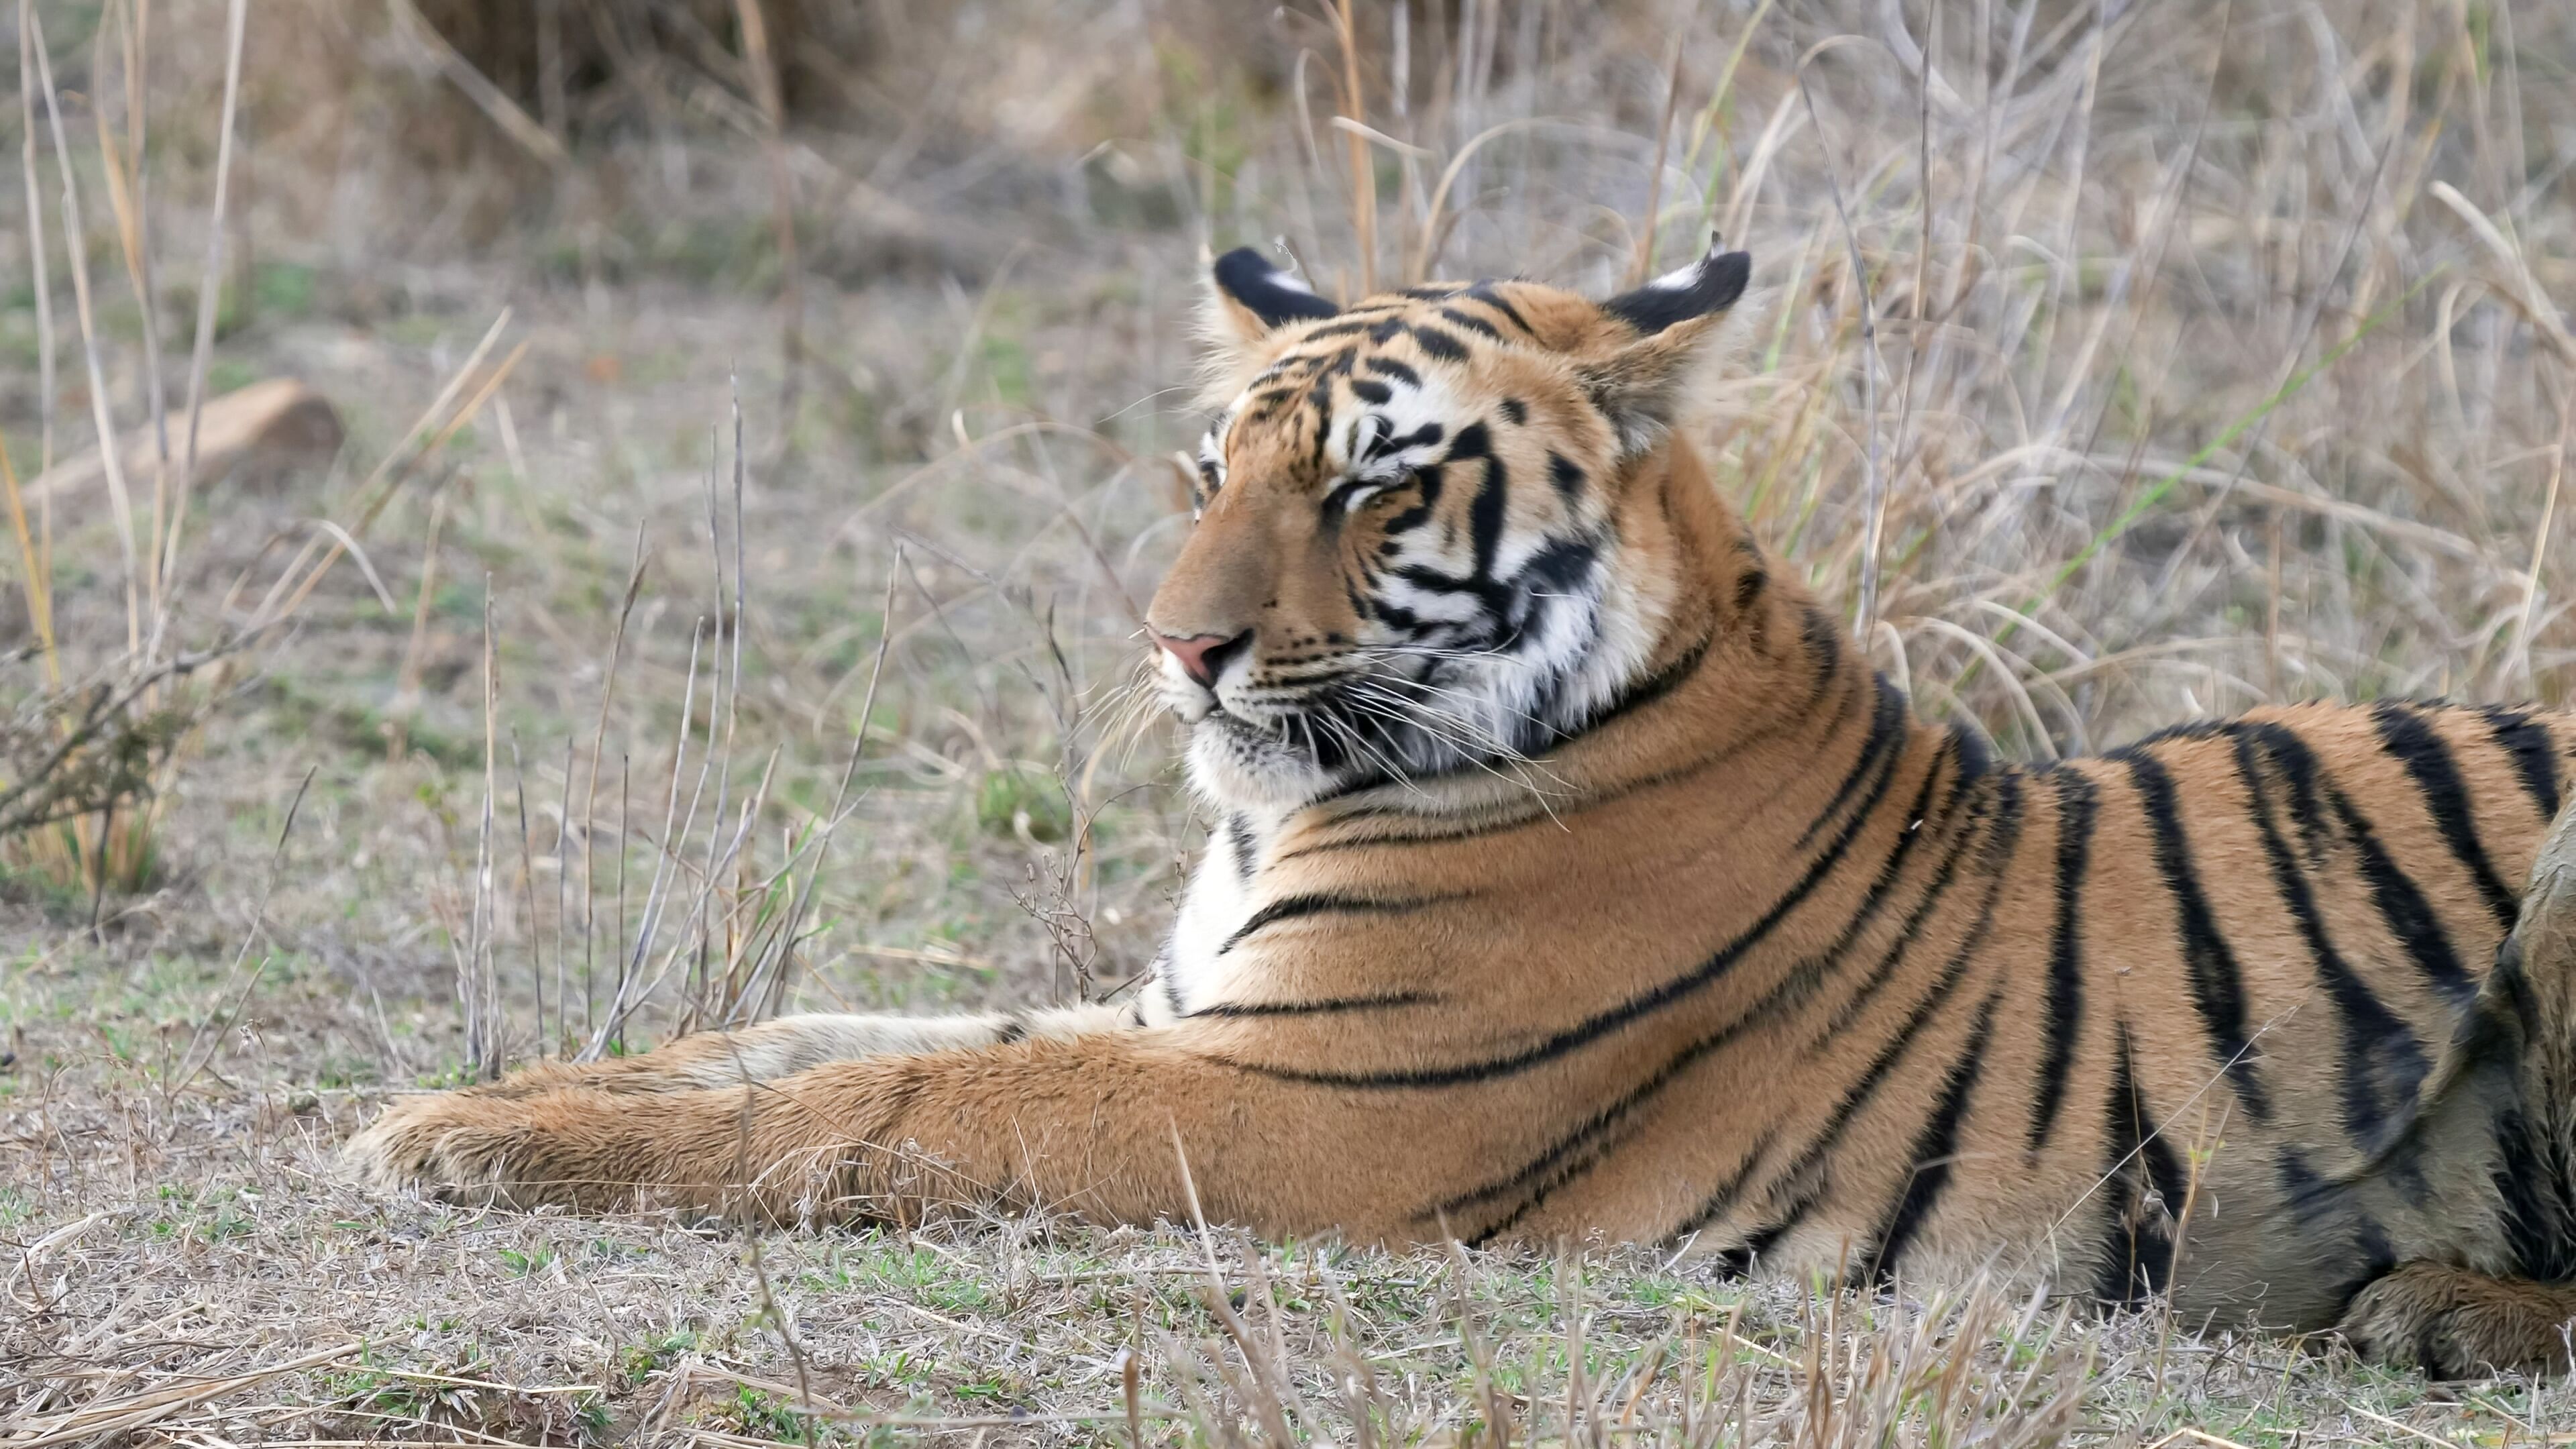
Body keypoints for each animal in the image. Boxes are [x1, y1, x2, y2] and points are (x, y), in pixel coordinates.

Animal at [349, 240, 2576, 1377]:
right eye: (1209, 472)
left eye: (1371, 483)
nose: (1178, 649)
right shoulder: (1186, 1012)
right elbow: (781, 1040)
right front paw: (465, 1111)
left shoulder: (1310, 1097)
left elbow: (898, 1100)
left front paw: (456, 1146)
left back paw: (2441, 1315)